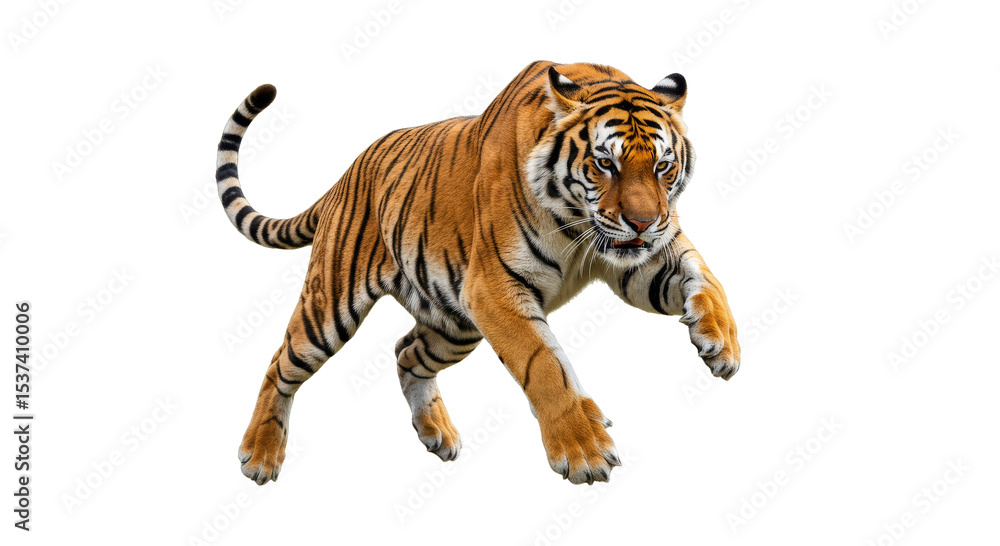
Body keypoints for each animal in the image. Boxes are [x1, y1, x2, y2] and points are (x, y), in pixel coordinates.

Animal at [216, 60, 740, 486]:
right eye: (604, 163)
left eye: (663, 166)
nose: (643, 222)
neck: (577, 221)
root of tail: (346, 174)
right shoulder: (495, 289)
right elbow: (544, 364)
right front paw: (584, 449)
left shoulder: (644, 259)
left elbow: (707, 279)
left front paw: (720, 343)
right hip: (331, 307)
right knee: (280, 364)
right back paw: (260, 455)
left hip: (454, 325)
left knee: (406, 351)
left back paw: (436, 432)